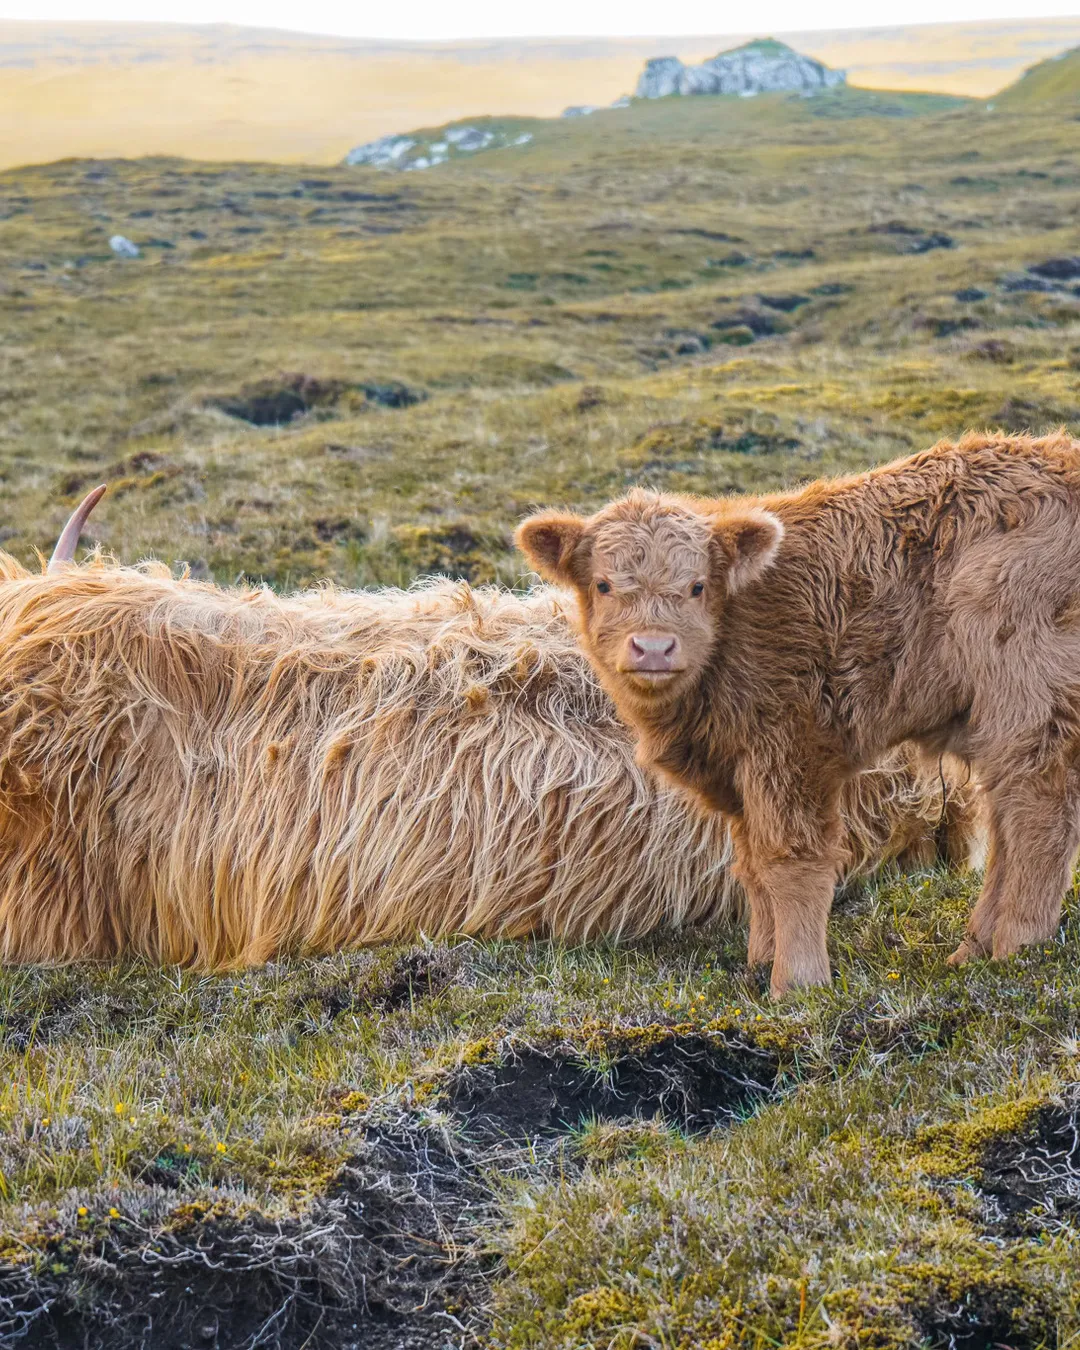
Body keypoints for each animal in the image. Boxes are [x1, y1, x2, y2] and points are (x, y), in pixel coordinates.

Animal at [516, 432, 1080, 996]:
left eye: (697, 585)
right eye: (604, 585)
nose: (654, 648)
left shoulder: (791, 749)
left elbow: (791, 863)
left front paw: (798, 980)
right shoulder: (739, 771)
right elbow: (752, 866)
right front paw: (760, 961)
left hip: (1029, 698)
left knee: (1040, 812)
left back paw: (1017, 949)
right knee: (1008, 817)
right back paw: (974, 949)